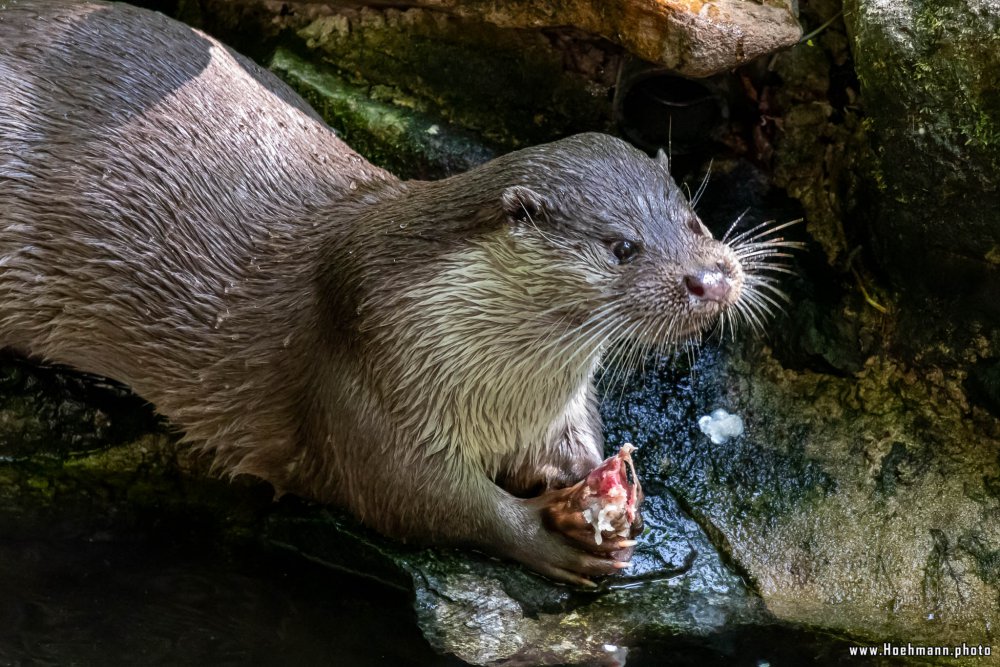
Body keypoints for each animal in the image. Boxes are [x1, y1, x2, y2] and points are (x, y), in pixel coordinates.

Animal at [0, 0, 772, 584]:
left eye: (693, 218)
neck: (500, 387)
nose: (710, 277)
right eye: (622, 247)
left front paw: (601, 485)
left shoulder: (553, 403)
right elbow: (415, 496)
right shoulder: (366, 370)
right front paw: (544, 535)